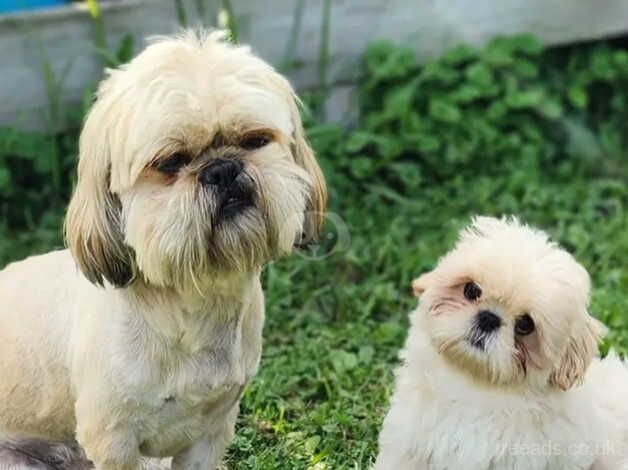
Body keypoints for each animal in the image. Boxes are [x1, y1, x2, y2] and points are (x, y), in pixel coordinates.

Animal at [0, 30, 326, 470]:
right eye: (171, 161)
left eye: (254, 140)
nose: (222, 168)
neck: (194, 302)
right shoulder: (113, 441)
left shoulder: (210, 431)